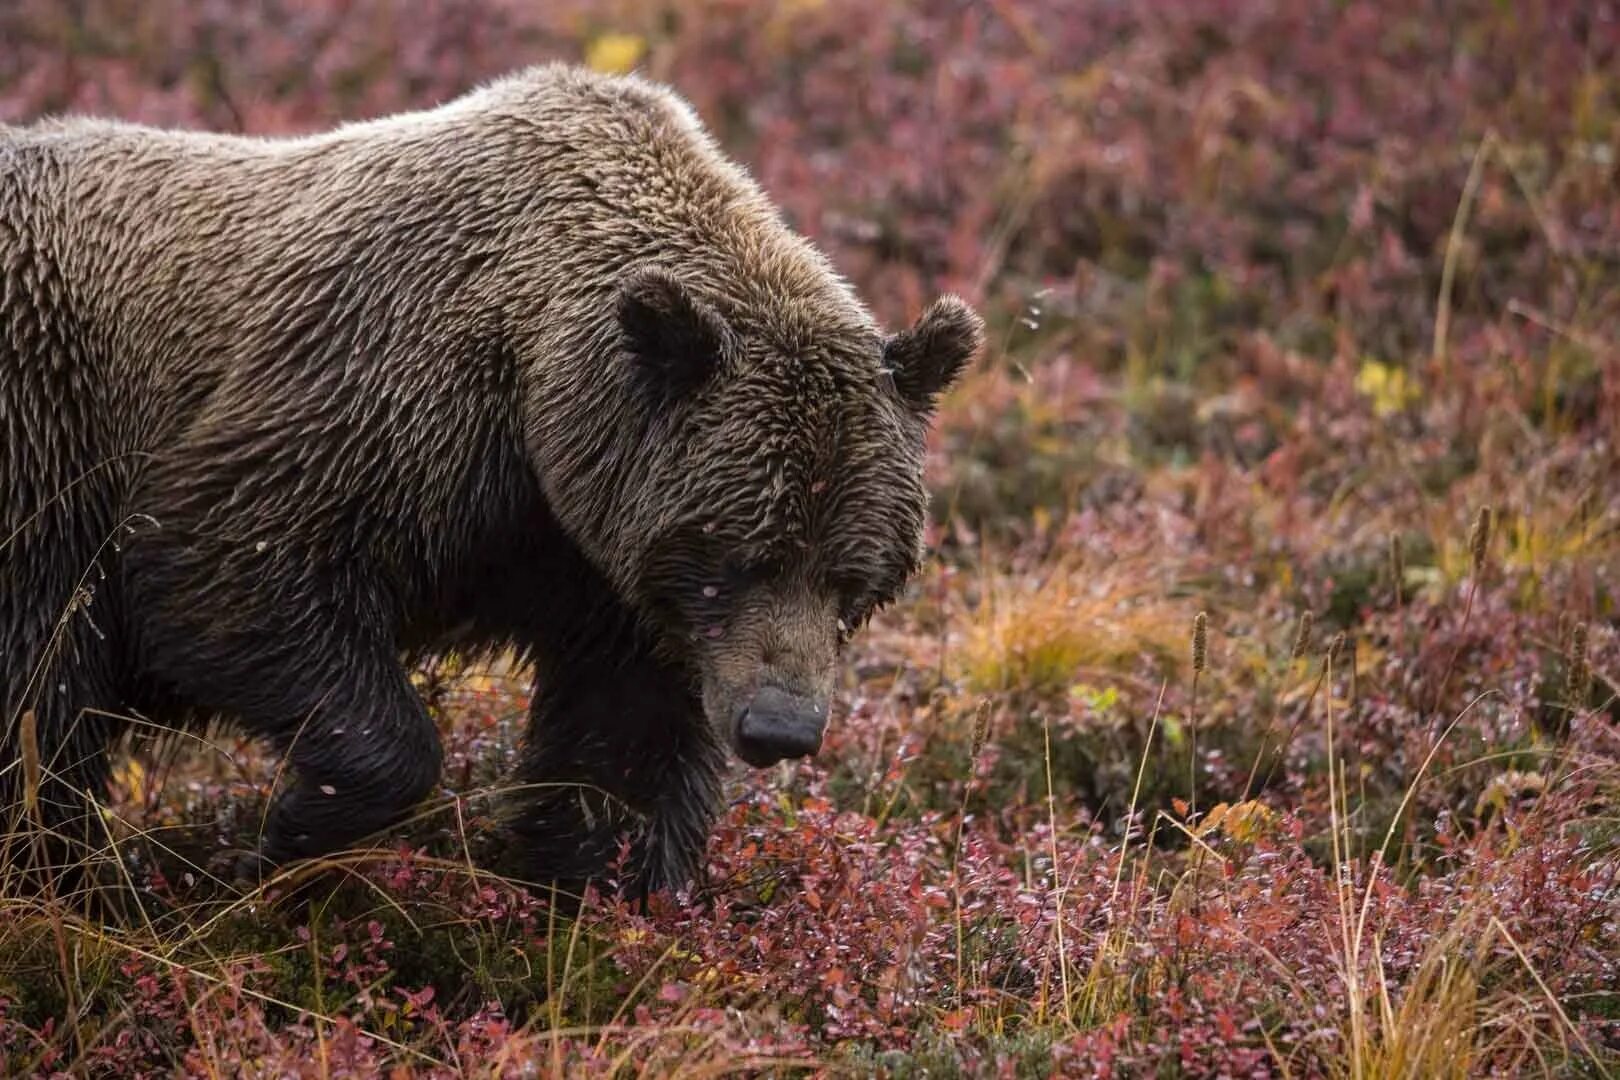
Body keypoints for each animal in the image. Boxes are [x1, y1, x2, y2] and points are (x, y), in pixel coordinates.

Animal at [0, 63, 978, 900]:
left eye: (853, 578)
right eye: (737, 558)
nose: (779, 727)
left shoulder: (604, 569)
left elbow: (621, 750)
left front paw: (604, 897)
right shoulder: (381, 399)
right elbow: (228, 566)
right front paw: (295, 832)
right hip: (44, 443)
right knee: (42, 701)